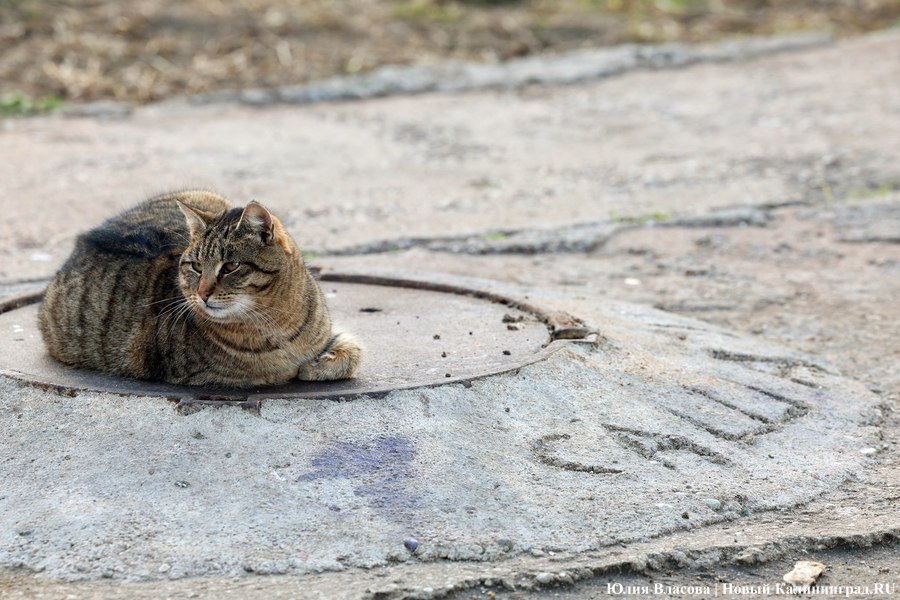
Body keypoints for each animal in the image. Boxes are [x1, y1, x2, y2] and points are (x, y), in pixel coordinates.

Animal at [37, 192, 362, 390]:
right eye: (194, 266)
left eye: (230, 266)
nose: (203, 293)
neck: (278, 320)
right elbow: (276, 371)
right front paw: (302, 368)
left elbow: (353, 350)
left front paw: (318, 364)